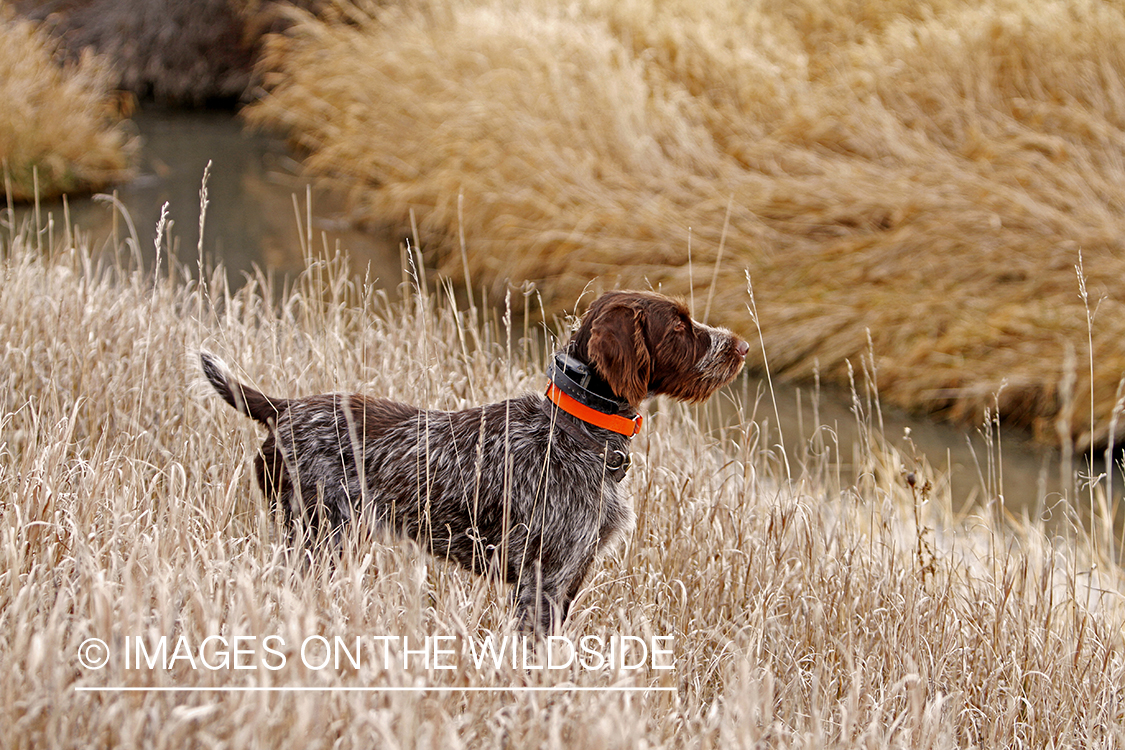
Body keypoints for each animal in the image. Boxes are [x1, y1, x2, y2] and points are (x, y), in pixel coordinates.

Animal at [202, 290, 747, 629]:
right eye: (678, 325)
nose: (741, 346)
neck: (575, 429)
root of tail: (284, 407)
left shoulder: (573, 575)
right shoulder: (544, 582)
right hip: (316, 537)